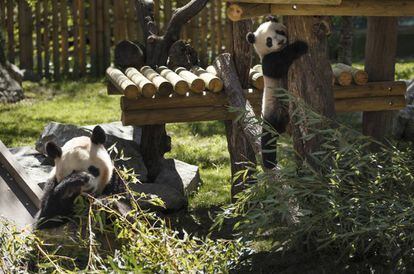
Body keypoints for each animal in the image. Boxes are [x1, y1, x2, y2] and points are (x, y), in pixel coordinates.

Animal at [34, 126, 186, 229]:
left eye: (93, 169)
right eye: (71, 172)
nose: (87, 186)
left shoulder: (116, 180)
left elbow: (127, 210)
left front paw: (104, 203)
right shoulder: (52, 183)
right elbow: (47, 217)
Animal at [246, 16, 308, 169]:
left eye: (279, 31)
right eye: (269, 41)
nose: (280, 41)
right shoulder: (268, 62)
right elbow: (280, 62)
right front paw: (301, 46)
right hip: (272, 111)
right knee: (268, 138)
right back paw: (269, 163)